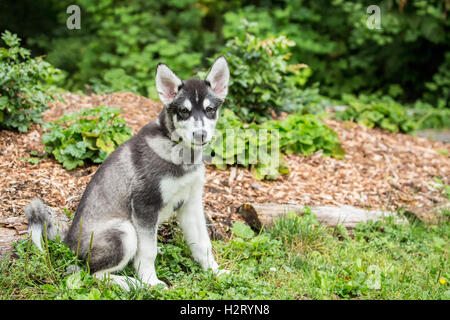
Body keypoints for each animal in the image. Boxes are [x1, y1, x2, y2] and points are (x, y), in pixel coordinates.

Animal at [24, 56, 229, 288]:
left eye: (210, 110)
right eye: (183, 112)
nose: (200, 134)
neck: (180, 152)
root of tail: (69, 242)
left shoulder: (191, 203)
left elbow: (203, 244)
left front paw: (215, 272)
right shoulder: (144, 205)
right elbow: (148, 252)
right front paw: (150, 282)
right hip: (124, 231)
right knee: (91, 273)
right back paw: (132, 284)